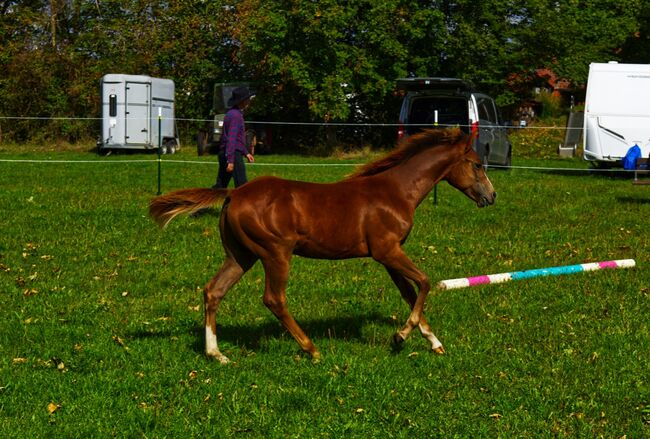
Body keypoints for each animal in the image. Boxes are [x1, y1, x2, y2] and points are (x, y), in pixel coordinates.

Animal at [149, 128, 496, 364]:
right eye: (478, 164)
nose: (491, 197)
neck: (396, 191)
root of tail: (234, 193)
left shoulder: (388, 256)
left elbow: (410, 292)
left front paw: (433, 342)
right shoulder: (387, 251)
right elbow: (424, 282)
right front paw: (400, 336)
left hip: (240, 255)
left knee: (214, 291)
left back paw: (216, 353)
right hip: (275, 253)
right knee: (274, 299)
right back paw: (311, 348)